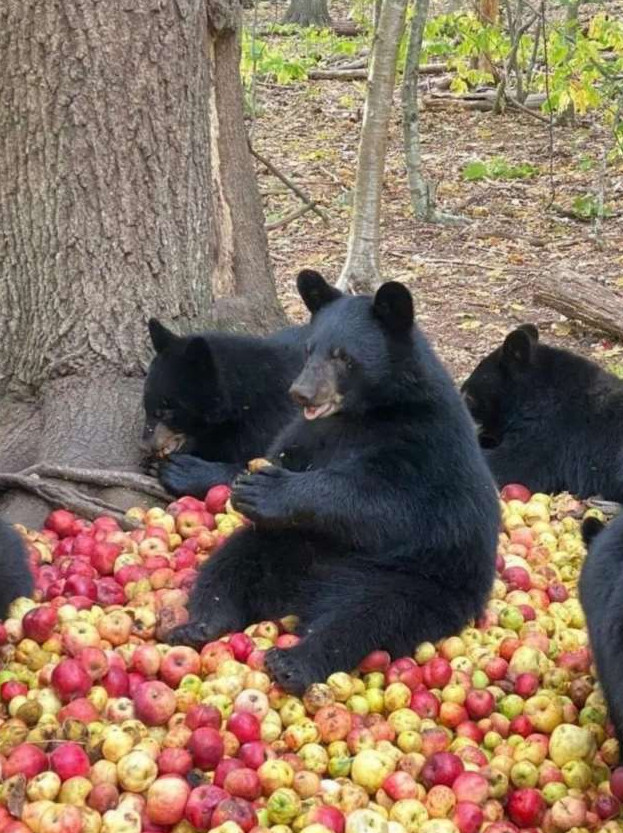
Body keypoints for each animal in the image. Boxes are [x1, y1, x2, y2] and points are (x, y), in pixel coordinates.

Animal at [167, 270, 502, 692]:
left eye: (343, 356)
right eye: (310, 349)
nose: (301, 392)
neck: (363, 413)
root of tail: (301, 594)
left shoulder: (425, 442)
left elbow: (394, 504)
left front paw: (270, 490)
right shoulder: (311, 433)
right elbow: (280, 452)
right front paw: (238, 481)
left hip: (415, 580)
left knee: (367, 616)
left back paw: (295, 661)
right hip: (286, 545)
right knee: (232, 562)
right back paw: (200, 625)